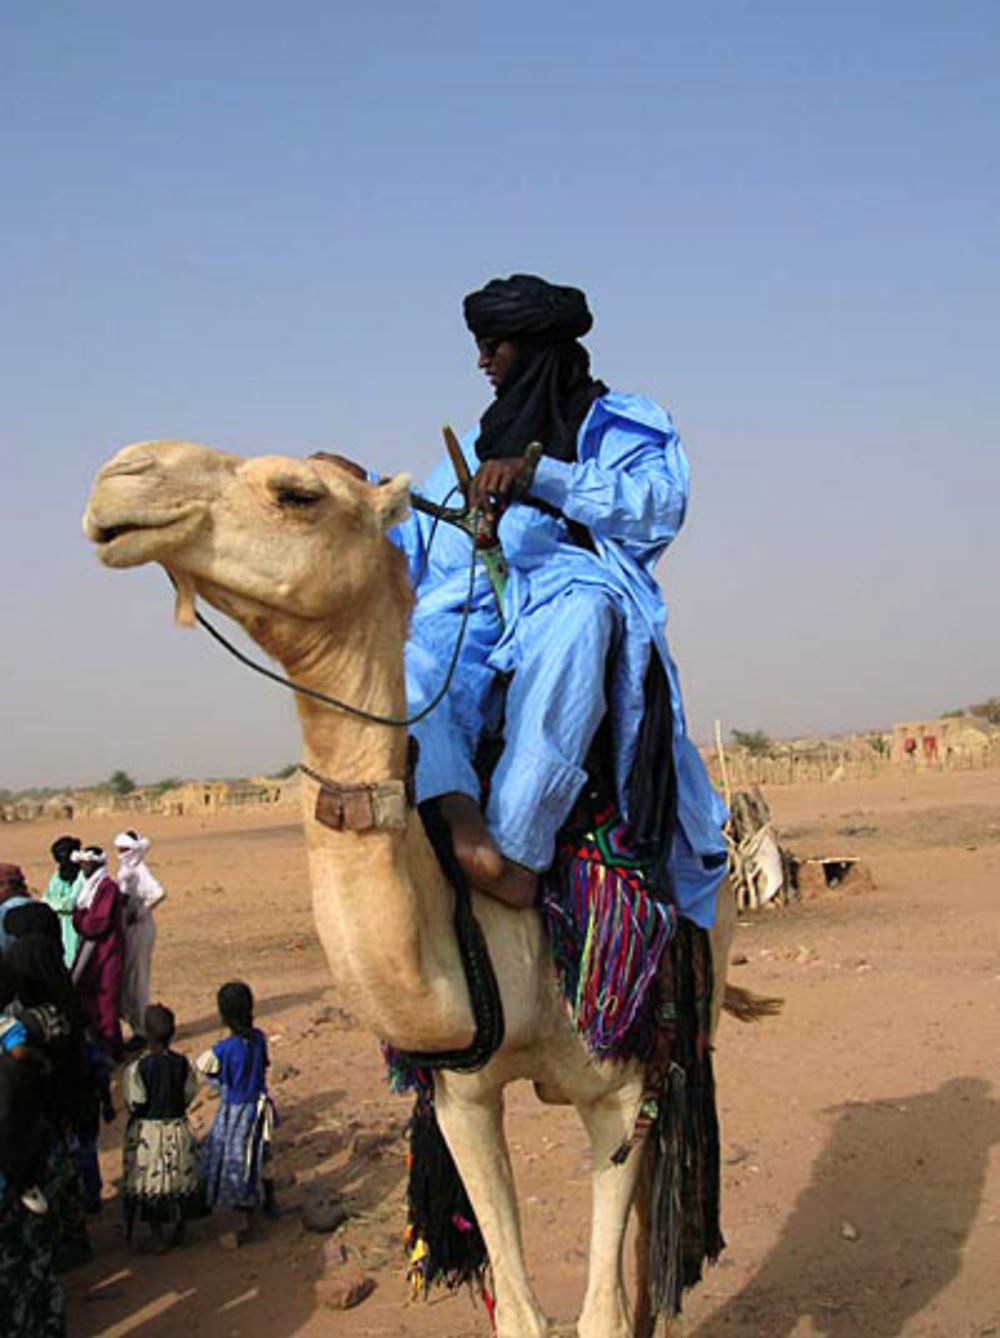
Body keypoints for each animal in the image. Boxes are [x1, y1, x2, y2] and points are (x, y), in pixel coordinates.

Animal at [86, 444, 738, 1338]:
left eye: (298, 493)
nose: (121, 474)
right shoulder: (463, 1098)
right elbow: (519, 1310)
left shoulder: (620, 1088)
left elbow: (604, 1309)